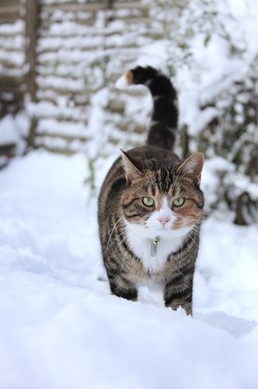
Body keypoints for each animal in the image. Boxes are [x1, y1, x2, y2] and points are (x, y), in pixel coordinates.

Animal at [98, 66, 205, 316]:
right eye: (147, 201)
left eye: (178, 201)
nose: (164, 219)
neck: (155, 245)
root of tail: (155, 146)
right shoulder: (119, 274)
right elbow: (124, 298)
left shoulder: (182, 276)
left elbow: (180, 305)